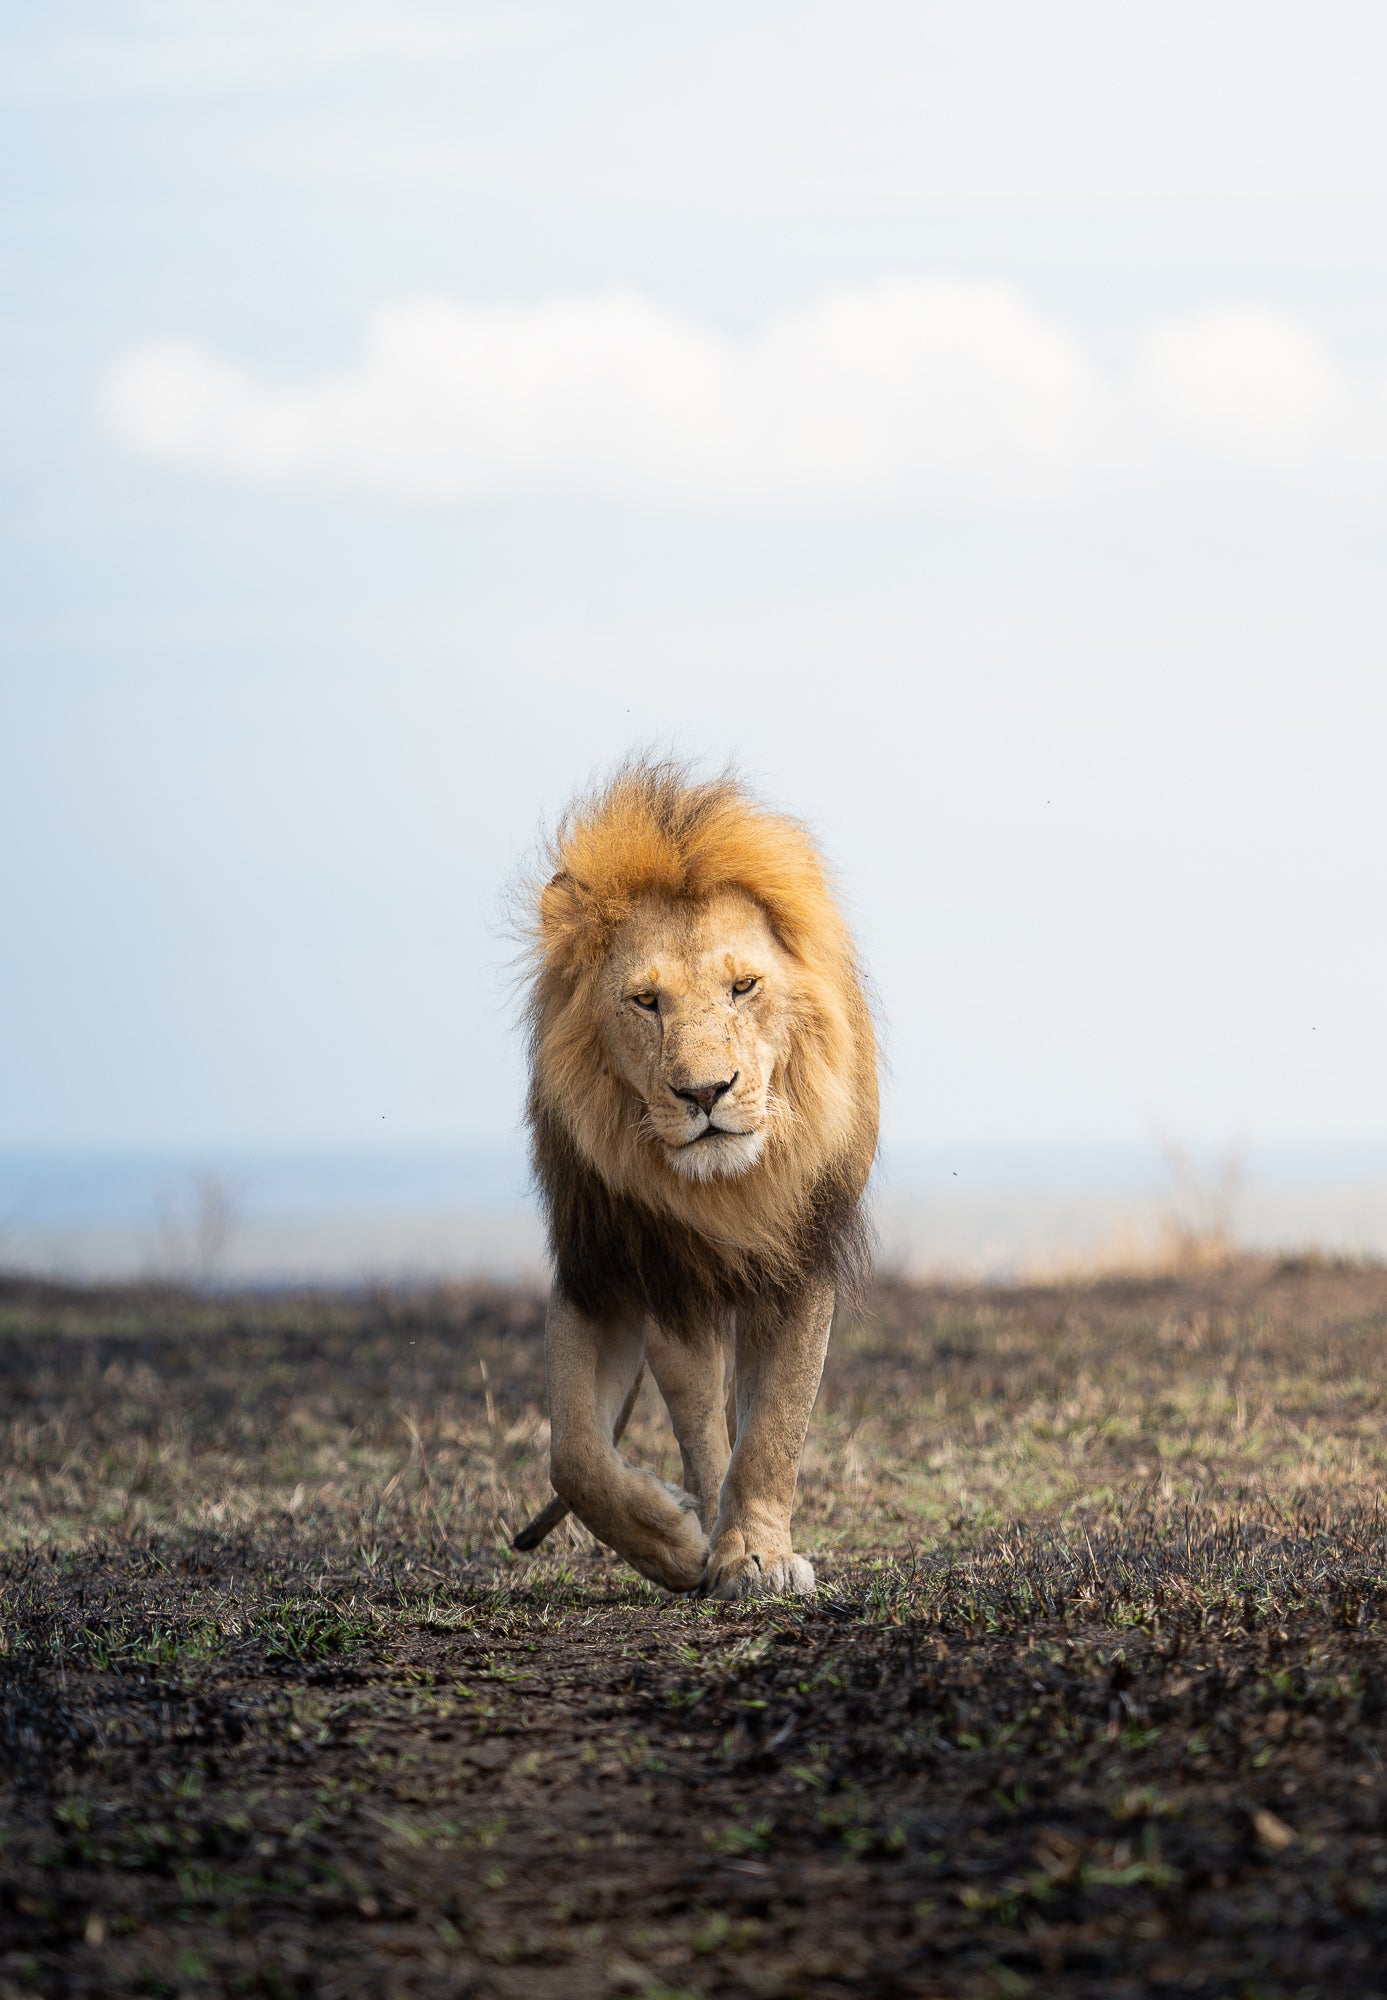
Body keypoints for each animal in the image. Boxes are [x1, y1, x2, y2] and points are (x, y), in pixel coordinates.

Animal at [512, 758, 879, 1599]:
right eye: (645, 1001)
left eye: (744, 987)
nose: (705, 1093)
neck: (724, 1192)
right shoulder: (604, 1268)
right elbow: (574, 1451)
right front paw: (674, 1542)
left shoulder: (800, 1261)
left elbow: (774, 1427)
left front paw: (758, 1556)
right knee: (696, 1413)